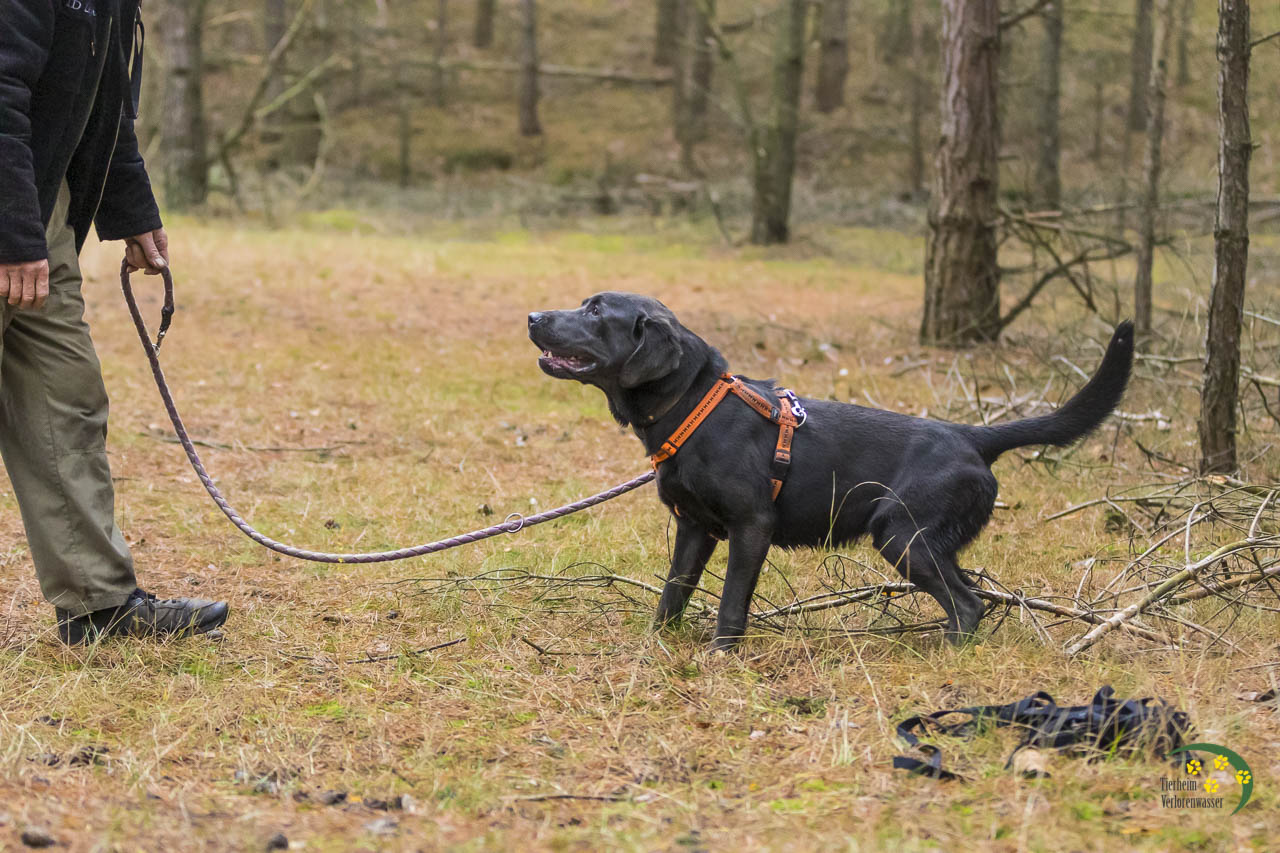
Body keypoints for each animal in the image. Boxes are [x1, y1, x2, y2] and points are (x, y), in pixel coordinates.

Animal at [529, 292, 1133, 650]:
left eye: (595, 313)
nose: (533, 316)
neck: (693, 407)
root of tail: (972, 436)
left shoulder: (752, 527)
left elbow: (730, 603)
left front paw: (722, 655)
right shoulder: (695, 528)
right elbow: (672, 594)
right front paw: (657, 645)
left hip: (901, 536)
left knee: (966, 604)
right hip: (927, 543)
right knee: (972, 597)